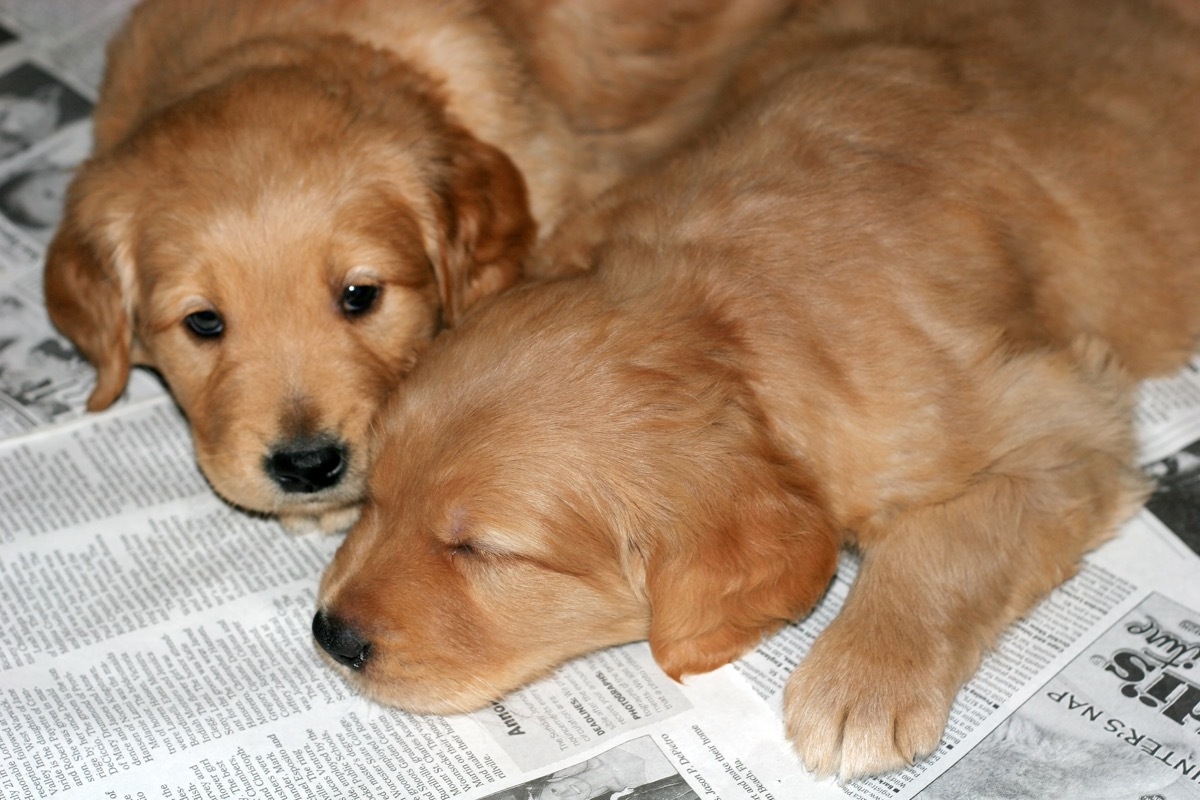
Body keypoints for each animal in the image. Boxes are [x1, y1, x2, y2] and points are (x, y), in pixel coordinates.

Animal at [312, 0, 1200, 782]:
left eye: (484, 550)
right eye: (375, 495)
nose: (330, 636)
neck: (715, 308)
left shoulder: (1064, 418)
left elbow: (951, 539)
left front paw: (864, 681)